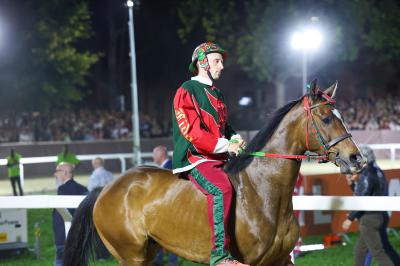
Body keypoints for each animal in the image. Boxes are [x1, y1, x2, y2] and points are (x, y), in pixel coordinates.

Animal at [63, 79, 366, 266]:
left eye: (341, 115)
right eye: (325, 118)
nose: (356, 158)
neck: (264, 193)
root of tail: (106, 189)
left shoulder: (280, 260)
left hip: (148, 251)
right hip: (130, 255)